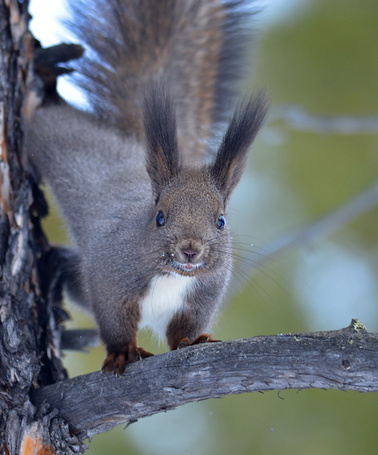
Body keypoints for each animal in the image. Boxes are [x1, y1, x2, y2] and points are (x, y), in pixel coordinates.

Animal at [25, 0, 268, 378]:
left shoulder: (202, 296)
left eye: (221, 221)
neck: (172, 275)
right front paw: (122, 353)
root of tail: (128, 144)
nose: (190, 250)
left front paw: (193, 341)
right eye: (160, 217)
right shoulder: (110, 280)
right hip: (58, 138)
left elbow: (183, 330)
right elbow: (115, 324)